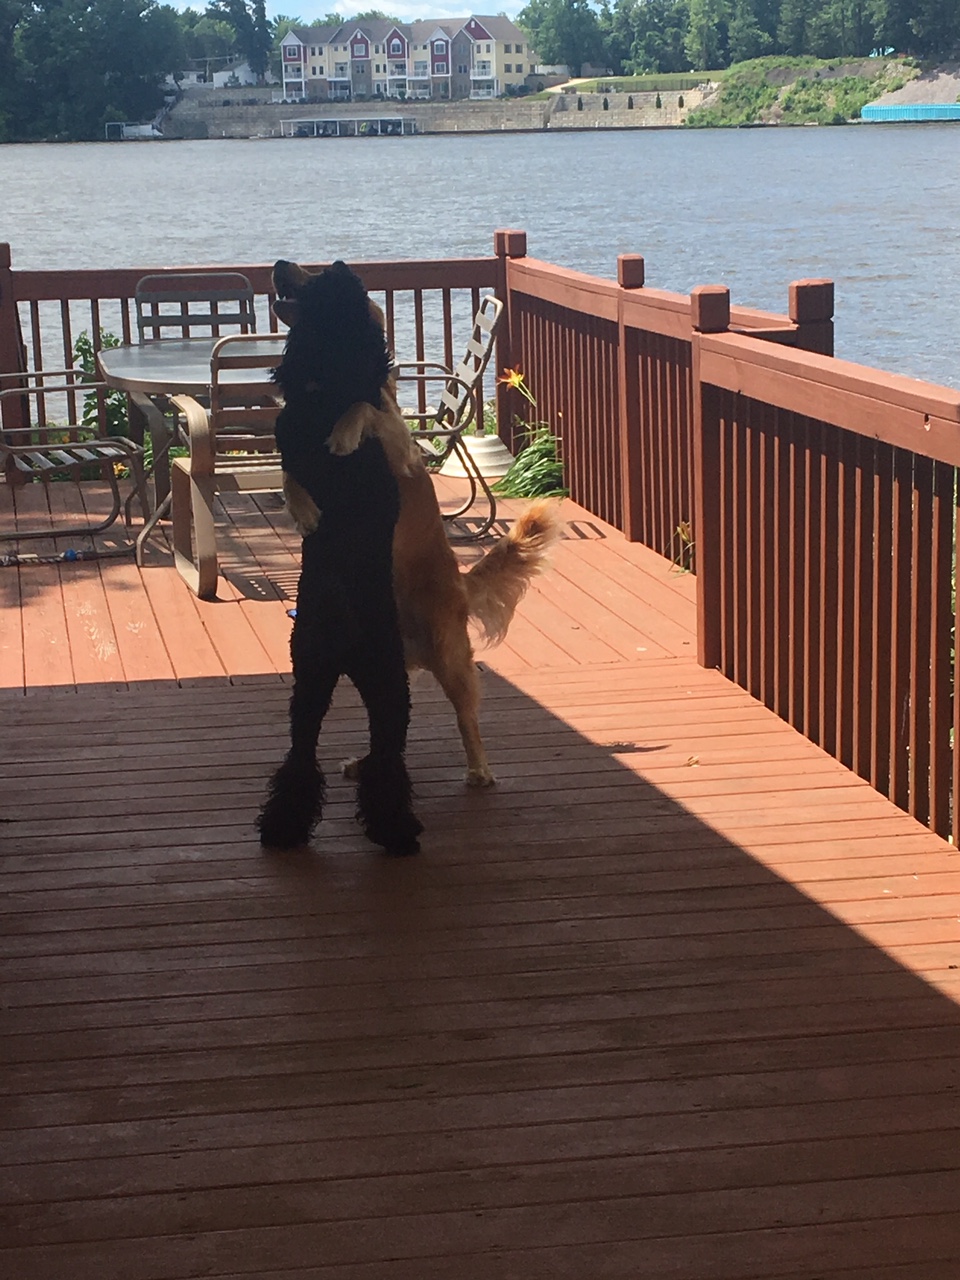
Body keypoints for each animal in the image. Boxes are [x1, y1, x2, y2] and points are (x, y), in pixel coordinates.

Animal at [273, 258, 563, 788]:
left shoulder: (399, 449)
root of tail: (461, 582)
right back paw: (367, 763)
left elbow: (363, 408)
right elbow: (288, 474)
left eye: (321, 275)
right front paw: (305, 510)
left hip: (448, 652)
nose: (280, 265)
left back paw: (479, 769)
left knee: (467, 715)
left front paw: (342, 435)